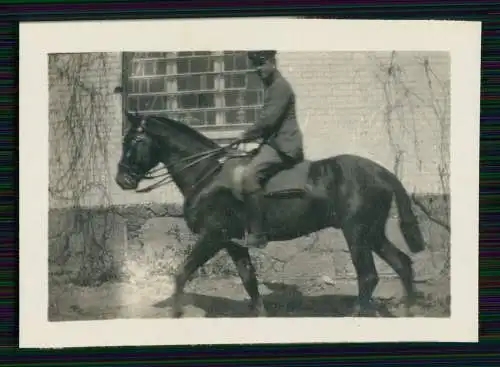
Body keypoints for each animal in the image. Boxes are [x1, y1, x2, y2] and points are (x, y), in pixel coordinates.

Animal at [116, 110, 426, 318]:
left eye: (133, 140)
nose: (122, 180)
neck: (208, 174)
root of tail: (382, 172)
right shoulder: (232, 243)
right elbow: (249, 281)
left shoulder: (213, 237)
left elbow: (182, 273)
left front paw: (176, 313)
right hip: (372, 233)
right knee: (402, 264)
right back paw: (409, 310)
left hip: (357, 233)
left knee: (369, 276)